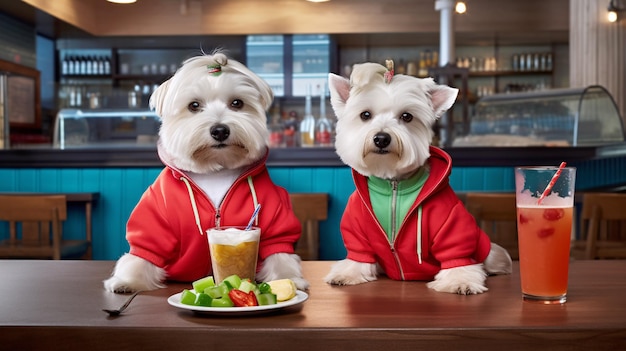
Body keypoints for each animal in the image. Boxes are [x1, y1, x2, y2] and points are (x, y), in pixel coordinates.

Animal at [104, 52, 308, 294]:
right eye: (194, 106)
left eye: (237, 103)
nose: (220, 130)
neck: (215, 169)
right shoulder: (154, 217)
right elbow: (143, 252)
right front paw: (126, 281)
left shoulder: (275, 215)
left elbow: (280, 252)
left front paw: (289, 279)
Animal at [324, 62, 510, 296]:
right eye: (365, 115)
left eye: (407, 116)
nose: (382, 138)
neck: (393, 183)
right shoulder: (356, 228)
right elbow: (358, 255)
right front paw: (347, 274)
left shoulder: (452, 225)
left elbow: (456, 255)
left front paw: (460, 281)